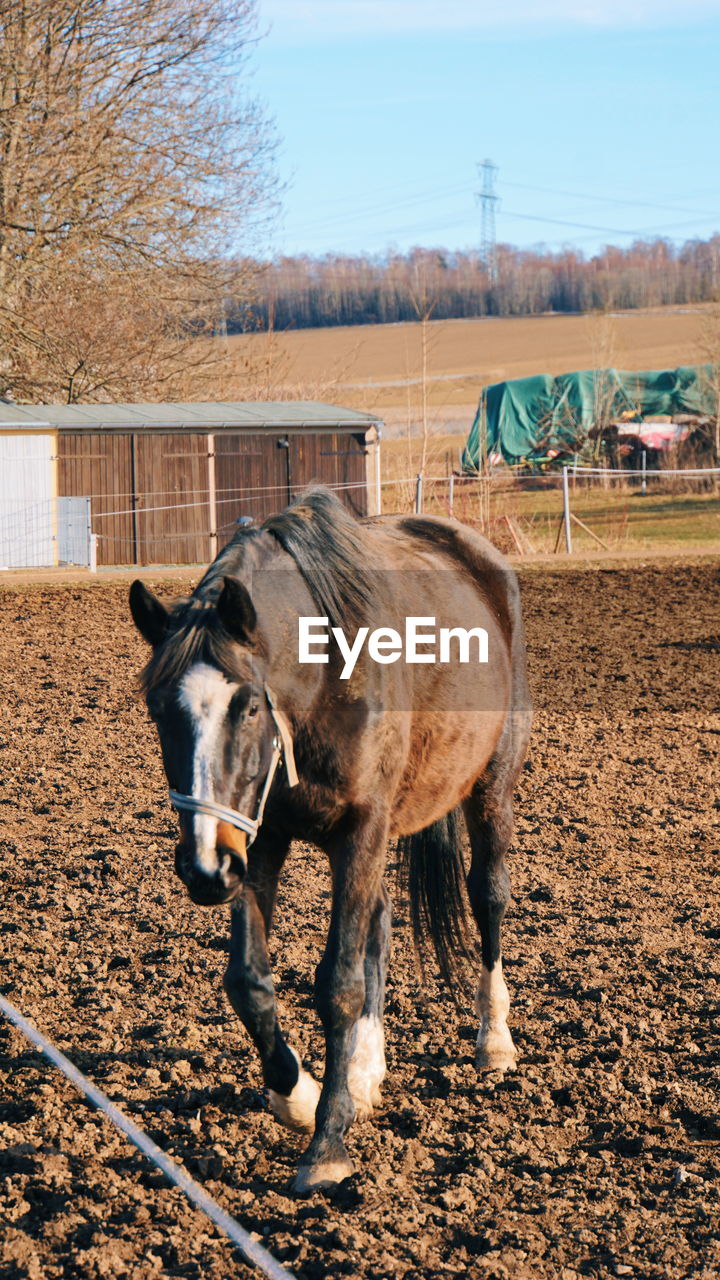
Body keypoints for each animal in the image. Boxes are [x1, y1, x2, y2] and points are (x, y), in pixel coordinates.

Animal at [128, 483, 530, 1192]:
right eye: (157, 709)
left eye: (247, 706)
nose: (203, 869)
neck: (322, 679)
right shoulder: (256, 837)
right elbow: (249, 981)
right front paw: (299, 1094)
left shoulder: (358, 829)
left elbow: (339, 981)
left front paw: (327, 1146)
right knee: (380, 921)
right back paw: (365, 1070)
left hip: (491, 787)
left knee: (487, 896)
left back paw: (494, 1039)